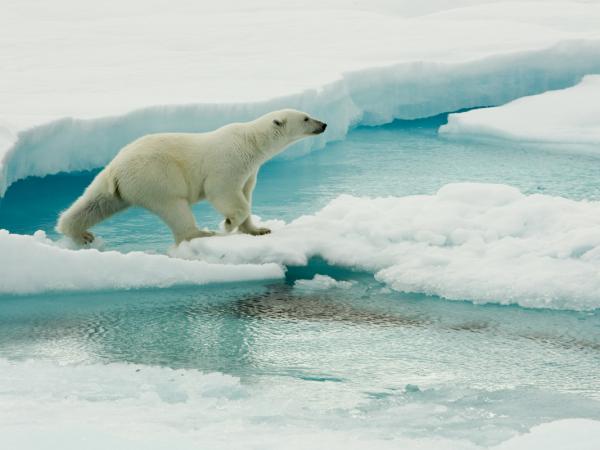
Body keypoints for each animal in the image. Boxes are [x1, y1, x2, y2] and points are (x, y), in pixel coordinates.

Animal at [55, 109, 328, 244]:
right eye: (306, 118)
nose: (324, 124)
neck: (251, 142)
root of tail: (116, 168)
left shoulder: (250, 169)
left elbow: (246, 194)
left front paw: (258, 229)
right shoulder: (229, 161)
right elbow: (223, 191)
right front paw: (228, 224)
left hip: (117, 184)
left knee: (95, 203)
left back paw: (79, 232)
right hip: (157, 176)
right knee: (174, 207)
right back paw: (200, 233)